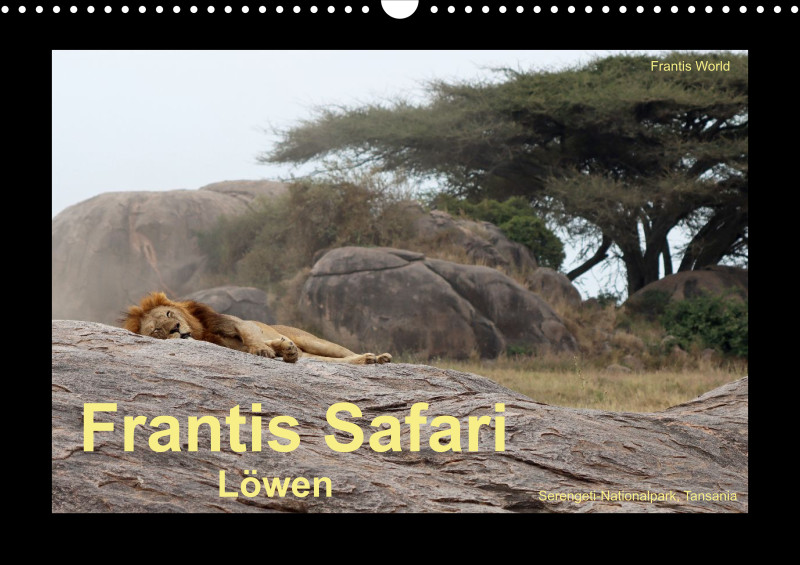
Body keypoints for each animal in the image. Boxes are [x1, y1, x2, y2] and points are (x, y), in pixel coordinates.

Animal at [121, 292, 392, 365]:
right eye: (157, 331)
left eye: (170, 314)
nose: (176, 328)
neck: (201, 333)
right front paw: (283, 350)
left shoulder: (235, 323)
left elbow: (251, 334)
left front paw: (272, 349)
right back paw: (368, 360)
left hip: (316, 342)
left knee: (344, 353)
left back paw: (378, 357)